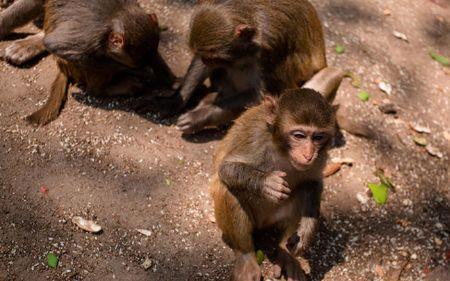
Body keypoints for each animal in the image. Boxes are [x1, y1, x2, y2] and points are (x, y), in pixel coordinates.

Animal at [144, 0, 326, 135]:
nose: (208, 61)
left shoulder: (271, 46)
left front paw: (200, 117)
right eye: (207, 57)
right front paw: (174, 101)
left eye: (214, 57)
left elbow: (265, 96)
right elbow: (200, 66)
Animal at [209, 66, 342, 278]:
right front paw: (267, 183)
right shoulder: (256, 140)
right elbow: (225, 169)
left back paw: (285, 253)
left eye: (318, 137)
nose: (308, 154)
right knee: (227, 189)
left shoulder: (321, 155)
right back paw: (246, 256)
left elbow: (313, 182)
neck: (282, 150)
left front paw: (307, 229)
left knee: (302, 191)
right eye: (299, 135)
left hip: (274, 220)